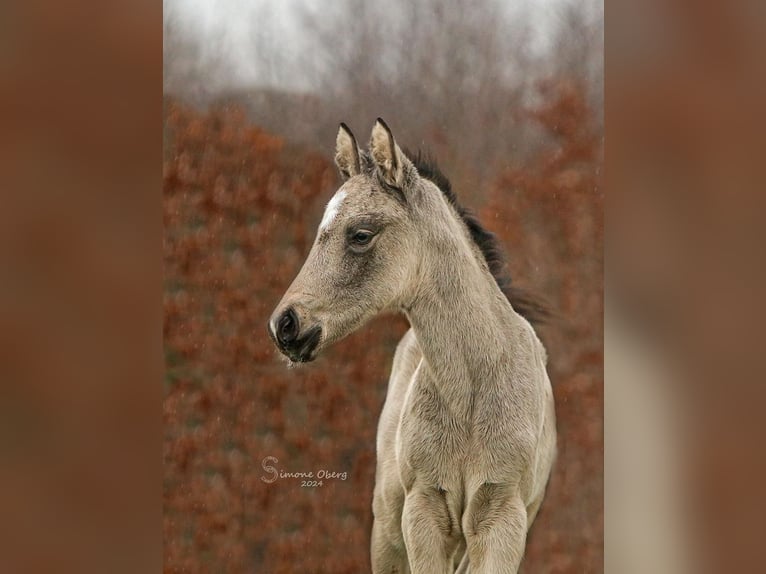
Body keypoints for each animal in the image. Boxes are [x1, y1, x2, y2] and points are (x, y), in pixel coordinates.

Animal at [270, 119, 560, 572]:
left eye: (360, 234)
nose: (285, 325)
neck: (470, 396)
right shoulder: (423, 514)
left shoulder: (502, 519)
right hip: (389, 531)